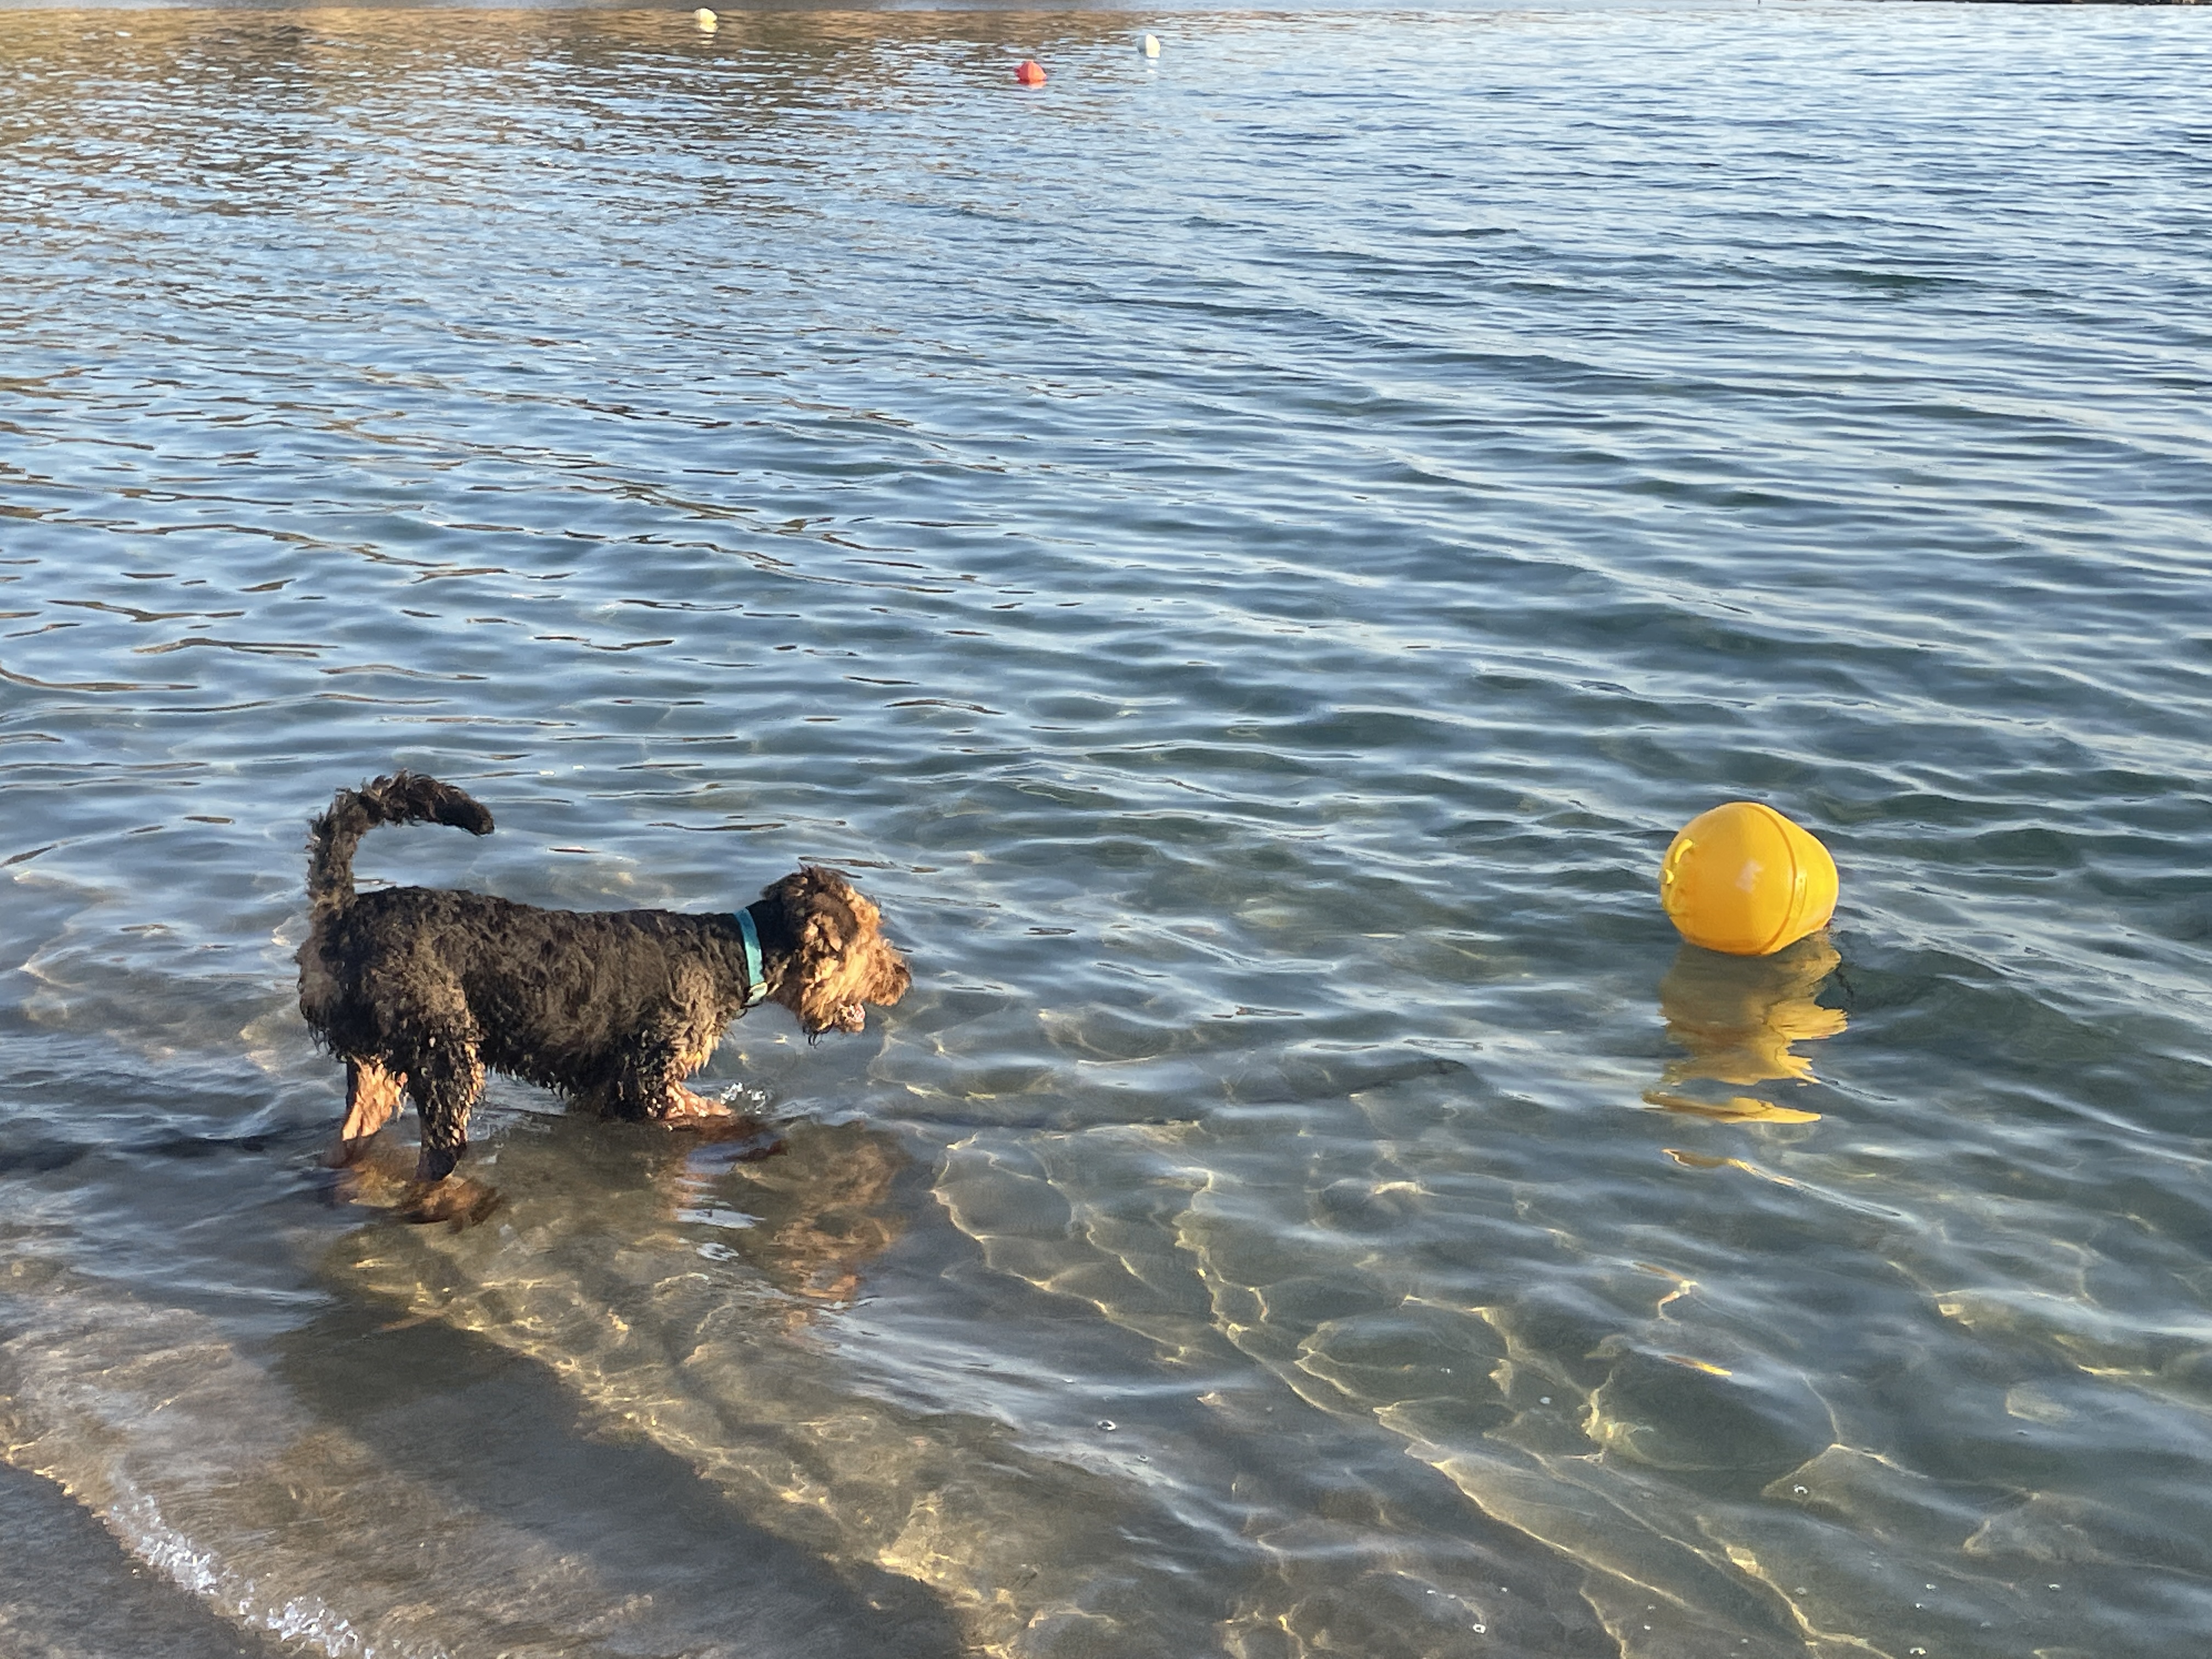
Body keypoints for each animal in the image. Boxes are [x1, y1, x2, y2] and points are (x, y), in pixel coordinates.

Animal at [296, 773, 910, 1196]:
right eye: (871, 932)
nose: (904, 977)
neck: (734, 956)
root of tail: (341, 912)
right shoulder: (650, 1079)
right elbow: (719, 1115)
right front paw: (763, 1138)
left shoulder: (604, 1088)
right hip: (446, 1053)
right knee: (438, 1155)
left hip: (375, 1068)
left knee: (350, 1141)